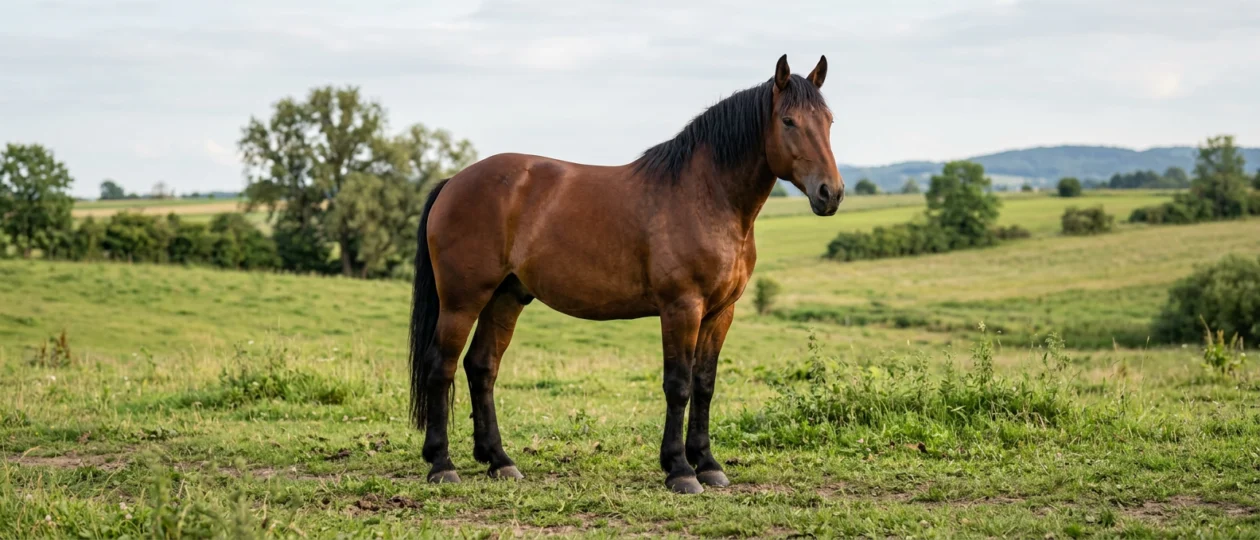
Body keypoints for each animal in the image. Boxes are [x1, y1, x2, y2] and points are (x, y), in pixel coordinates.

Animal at [408, 54, 843, 494]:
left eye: (829, 121)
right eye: (788, 121)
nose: (832, 193)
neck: (705, 197)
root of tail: (454, 182)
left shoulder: (721, 313)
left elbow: (704, 385)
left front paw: (707, 464)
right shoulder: (681, 308)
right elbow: (678, 385)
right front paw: (680, 469)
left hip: (505, 297)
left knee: (482, 367)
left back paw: (500, 460)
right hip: (462, 301)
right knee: (441, 367)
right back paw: (442, 464)